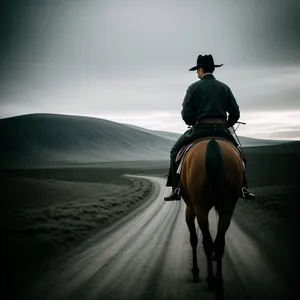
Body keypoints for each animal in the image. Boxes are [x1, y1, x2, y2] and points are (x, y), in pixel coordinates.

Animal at [179, 138, 243, 298]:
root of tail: (212, 142)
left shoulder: (190, 207)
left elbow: (193, 239)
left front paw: (195, 271)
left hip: (200, 207)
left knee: (207, 243)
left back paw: (210, 280)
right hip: (227, 207)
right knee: (219, 243)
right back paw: (219, 282)